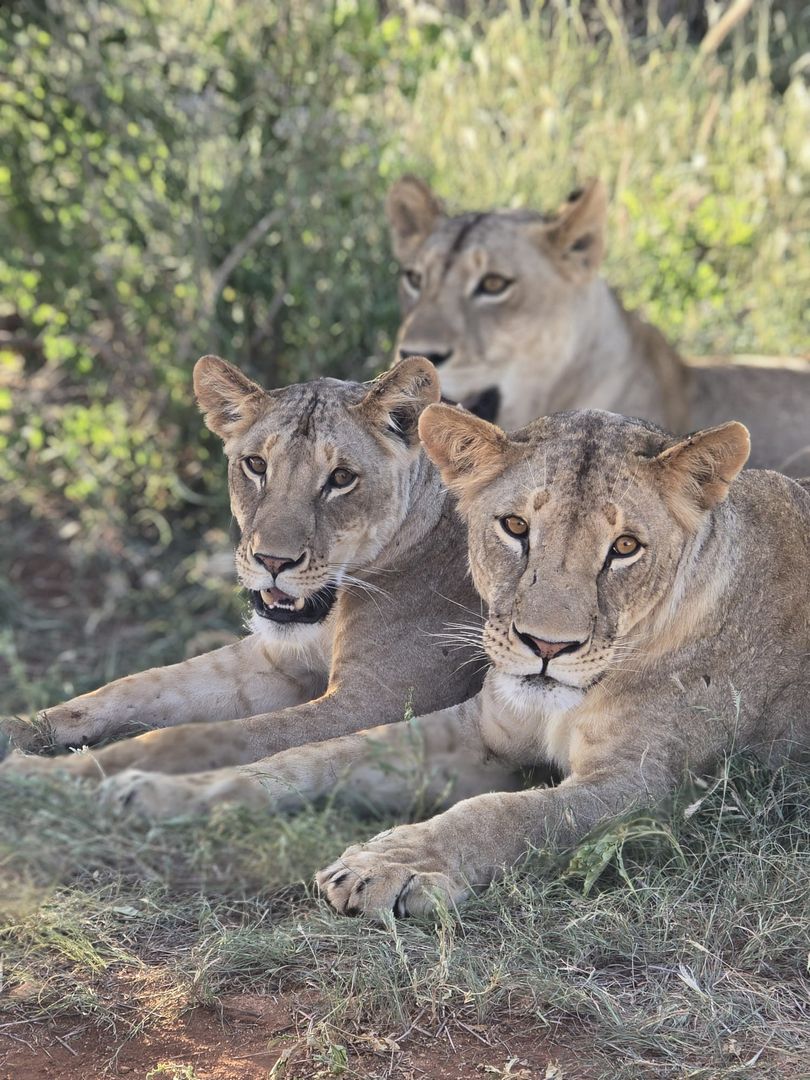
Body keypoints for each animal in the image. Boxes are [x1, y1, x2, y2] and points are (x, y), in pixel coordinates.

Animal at [1, 355, 507, 803]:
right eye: (256, 466)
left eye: (341, 478)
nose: (272, 561)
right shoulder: (274, 658)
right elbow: (133, 685)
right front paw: (16, 729)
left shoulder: (375, 702)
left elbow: (190, 738)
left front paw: (42, 774)